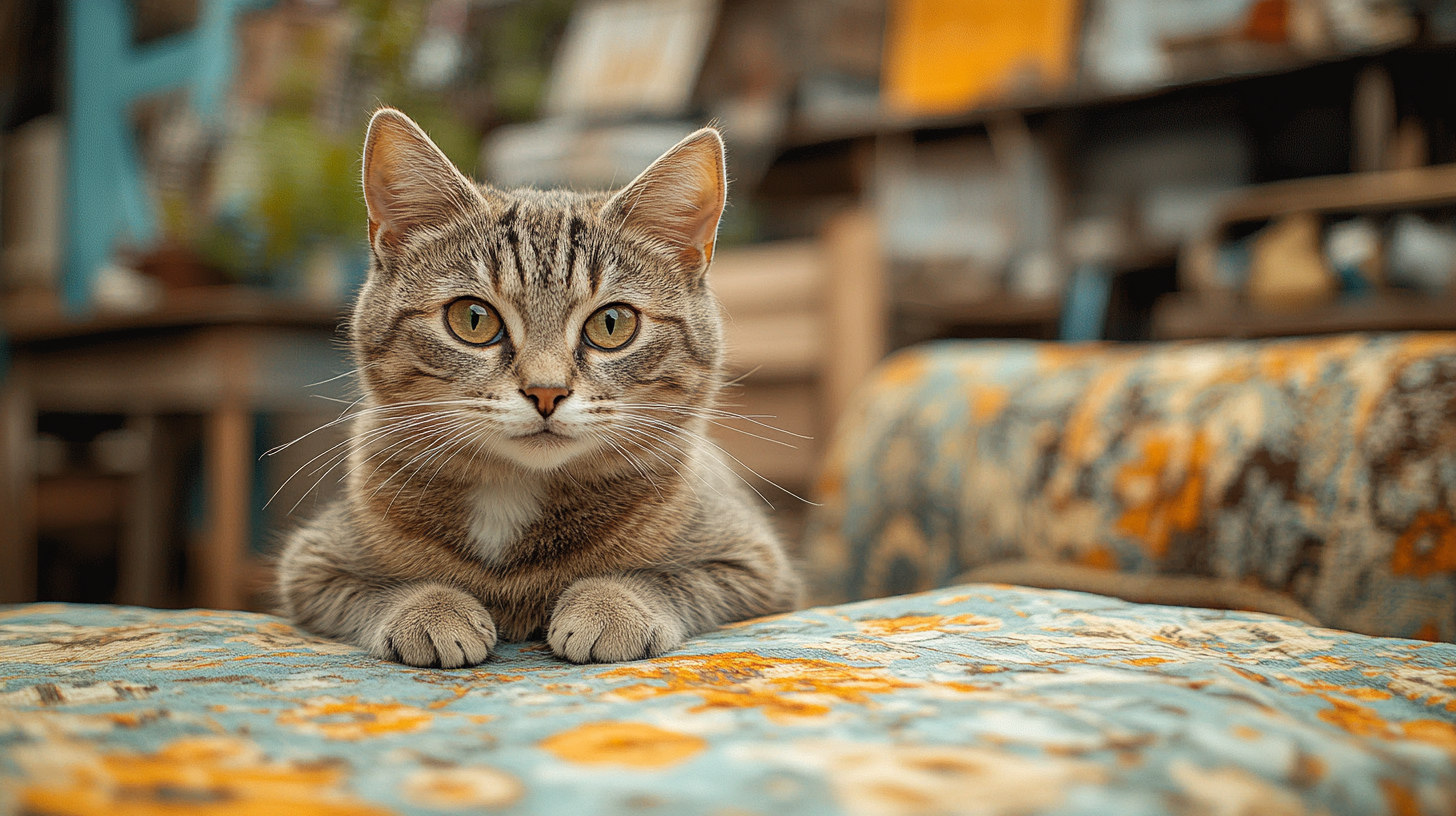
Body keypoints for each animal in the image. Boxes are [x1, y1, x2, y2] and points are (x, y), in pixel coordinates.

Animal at [273, 108, 797, 667]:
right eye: (473, 318)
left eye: (612, 323)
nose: (546, 391)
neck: (513, 491)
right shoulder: (311, 565)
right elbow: (374, 588)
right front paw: (430, 608)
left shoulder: (755, 563)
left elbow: (670, 579)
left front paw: (610, 604)